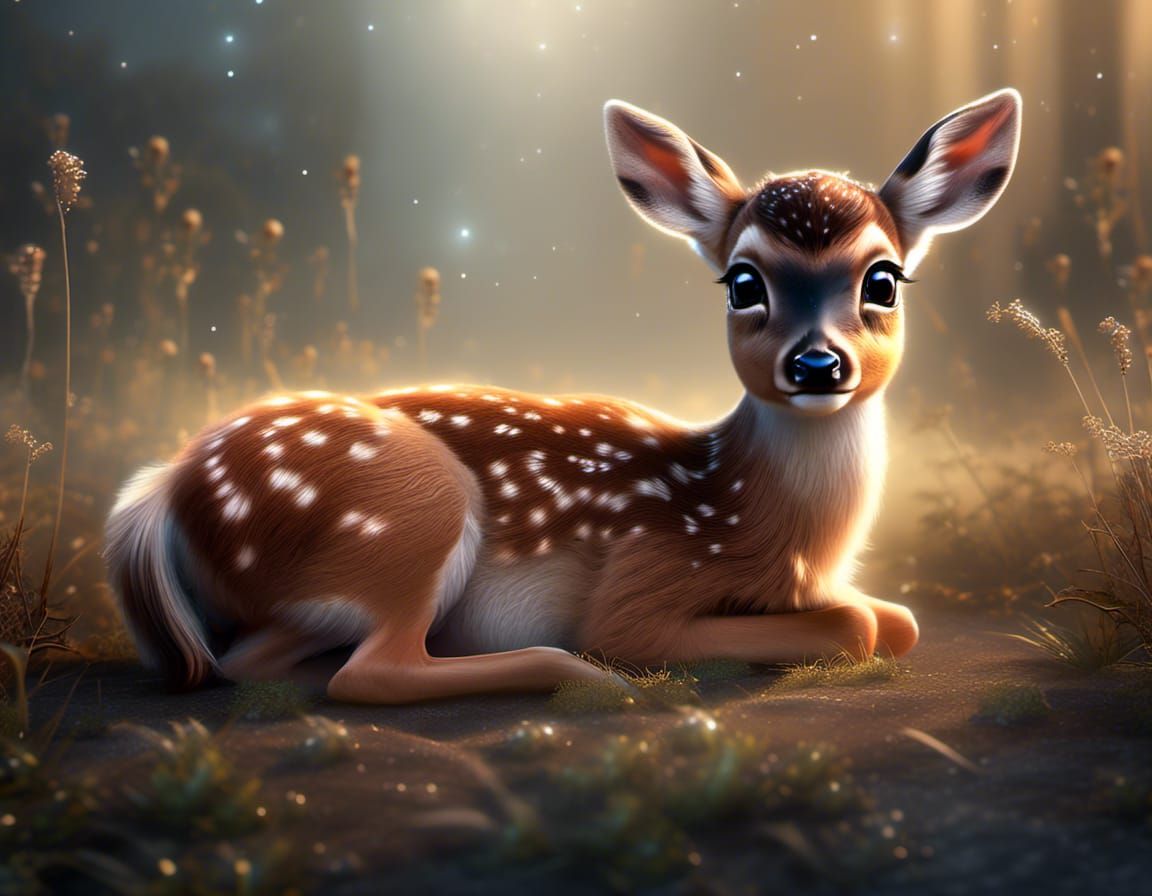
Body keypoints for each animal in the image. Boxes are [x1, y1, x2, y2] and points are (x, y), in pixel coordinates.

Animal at [105, 89, 1021, 703]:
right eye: (742, 282)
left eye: (884, 280)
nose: (818, 365)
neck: (755, 518)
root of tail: (163, 490)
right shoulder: (644, 580)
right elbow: (854, 624)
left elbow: (898, 620)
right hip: (411, 511)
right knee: (367, 672)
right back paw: (573, 673)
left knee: (252, 660)